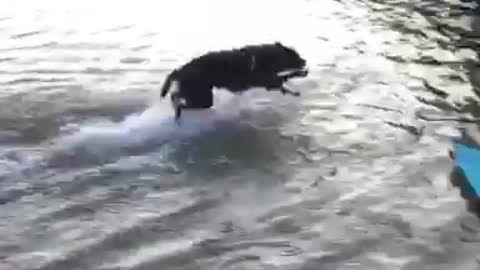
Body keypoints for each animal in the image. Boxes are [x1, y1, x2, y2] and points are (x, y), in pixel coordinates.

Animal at [159, 41, 310, 121]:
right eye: (295, 55)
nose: (305, 61)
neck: (266, 57)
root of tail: (180, 69)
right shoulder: (266, 79)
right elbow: (284, 77)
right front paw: (301, 73)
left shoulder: (269, 81)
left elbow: (283, 83)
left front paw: (292, 90)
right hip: (203, 97)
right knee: (178, 99)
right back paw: (177, 108)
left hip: (200, 94)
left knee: (178, 97)